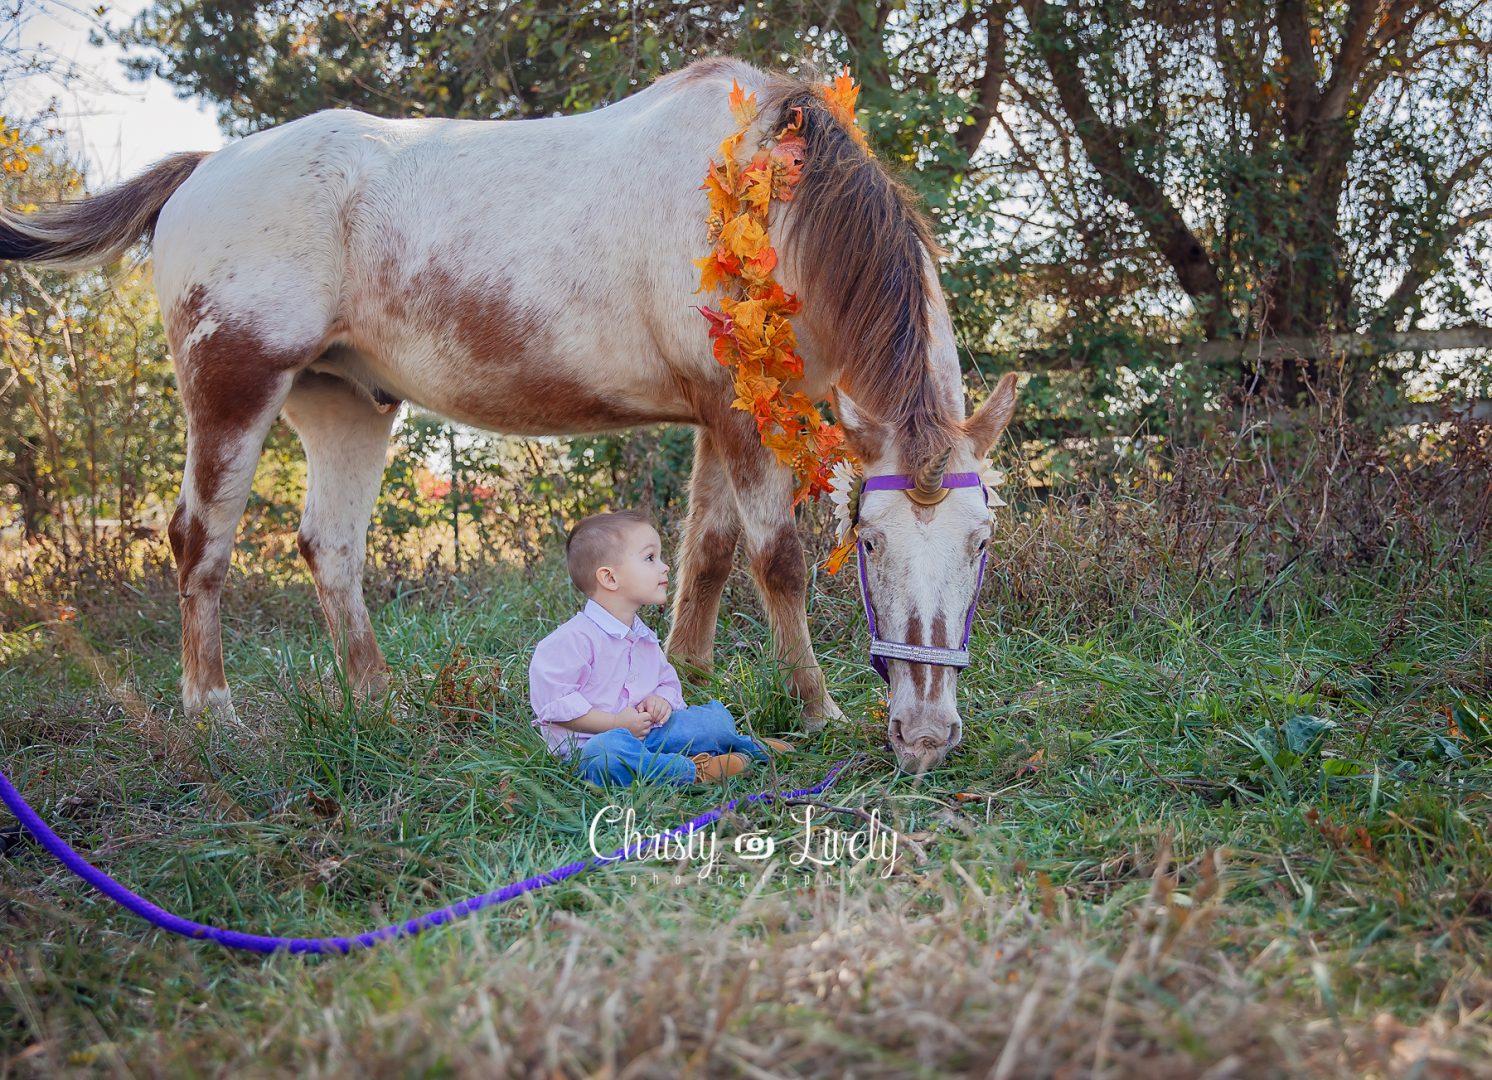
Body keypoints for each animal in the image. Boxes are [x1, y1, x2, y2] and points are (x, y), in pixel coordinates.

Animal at [0, 54, 1020, 769]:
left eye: (980, 543)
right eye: (872, 542)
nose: (926, 737)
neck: (772, 200)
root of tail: (208, 164)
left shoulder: (721, 413)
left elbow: (707, 553)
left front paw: (690, 676)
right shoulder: (737, 416)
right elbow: (778, 563)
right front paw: (819, 708)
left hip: (347, 407)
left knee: (331, 548)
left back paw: (378, 704)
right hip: (234, 392)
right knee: (199, 545)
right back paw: (213, 716)